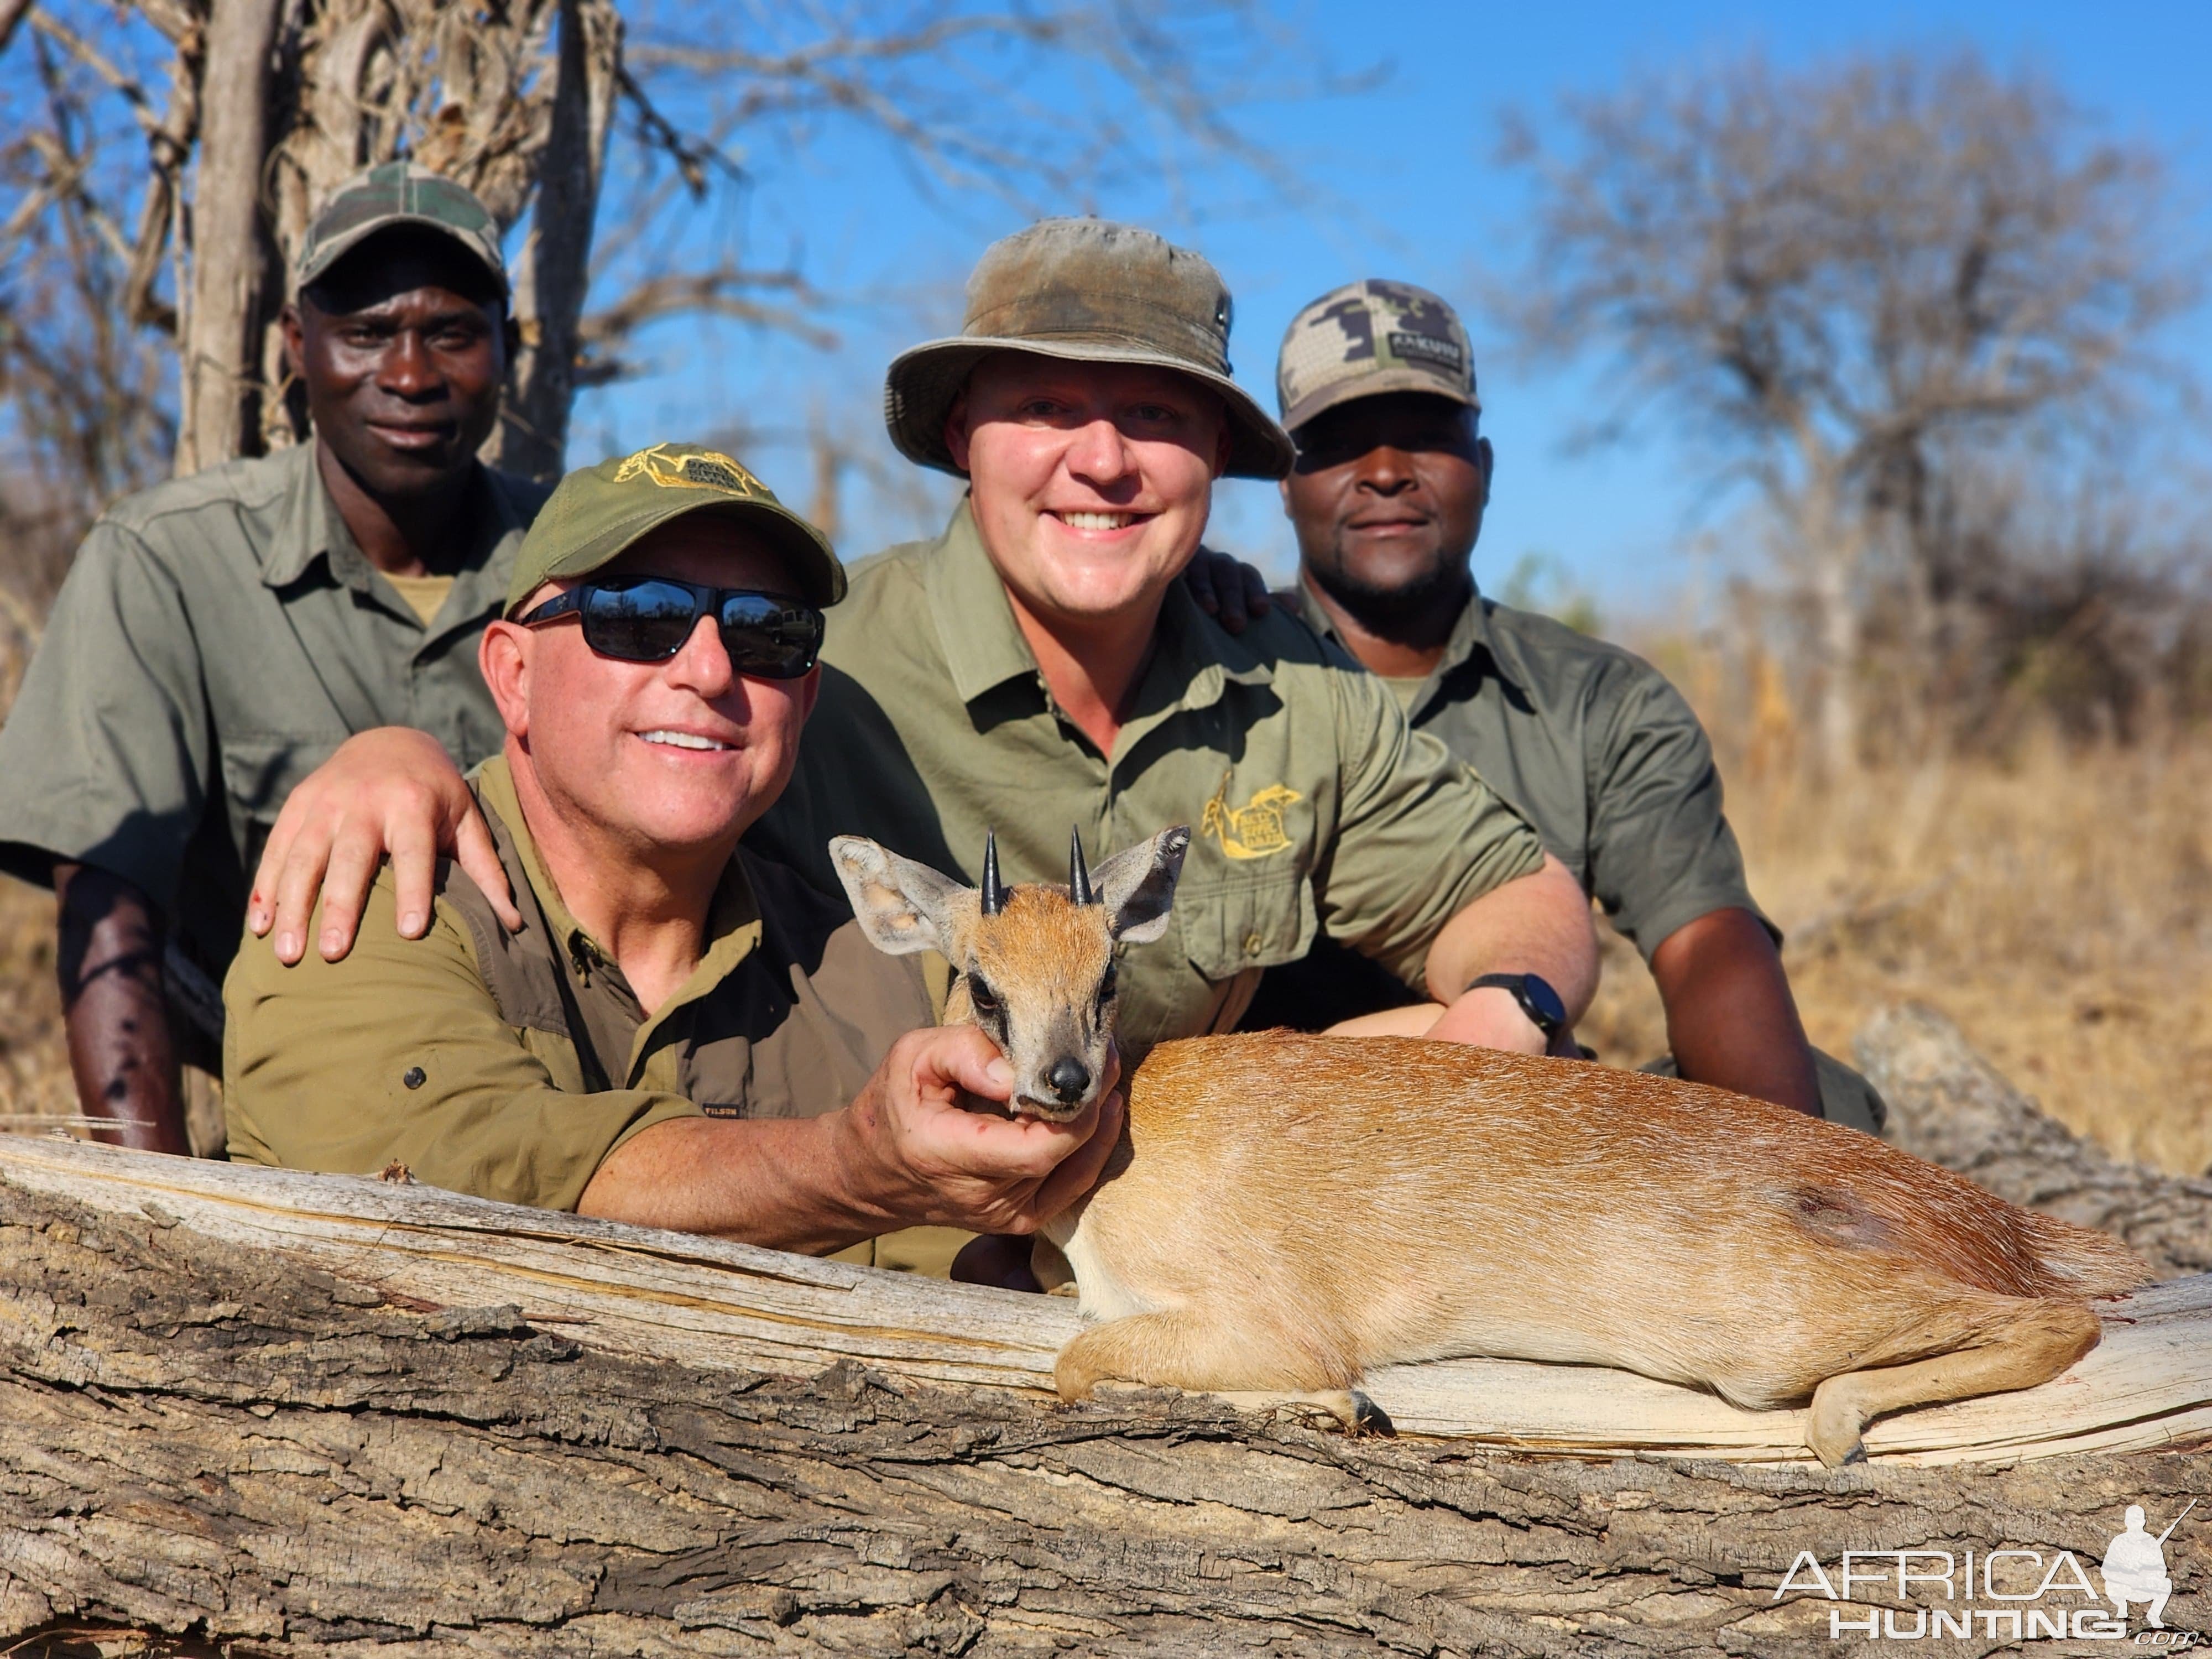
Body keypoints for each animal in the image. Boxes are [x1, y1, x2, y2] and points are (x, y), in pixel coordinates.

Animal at [827, 827, 2141, 1460]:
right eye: (982, 985)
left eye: (1108, 976)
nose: (1060, 1082)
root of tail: (1997, 1219)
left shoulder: (1267, 1322)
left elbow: (1080, 1365)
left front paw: (1347, 1409)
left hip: (1765, 1339)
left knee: (2055, 1322)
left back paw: (1837, 1430)